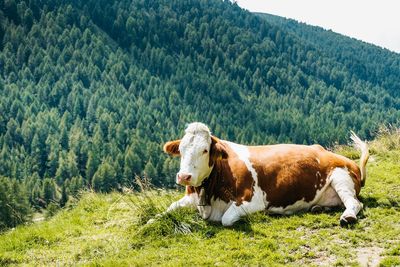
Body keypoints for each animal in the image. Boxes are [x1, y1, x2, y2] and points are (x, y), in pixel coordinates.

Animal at [161, 122, 370, 227]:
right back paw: (318, 208)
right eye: (181, 149)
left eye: (205, 150)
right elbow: (167, 210)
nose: (184, 177)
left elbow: (226, 219)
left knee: (354, 203)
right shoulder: (190, 197)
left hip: (341, 178)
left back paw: (347, 216)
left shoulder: (252, 200)